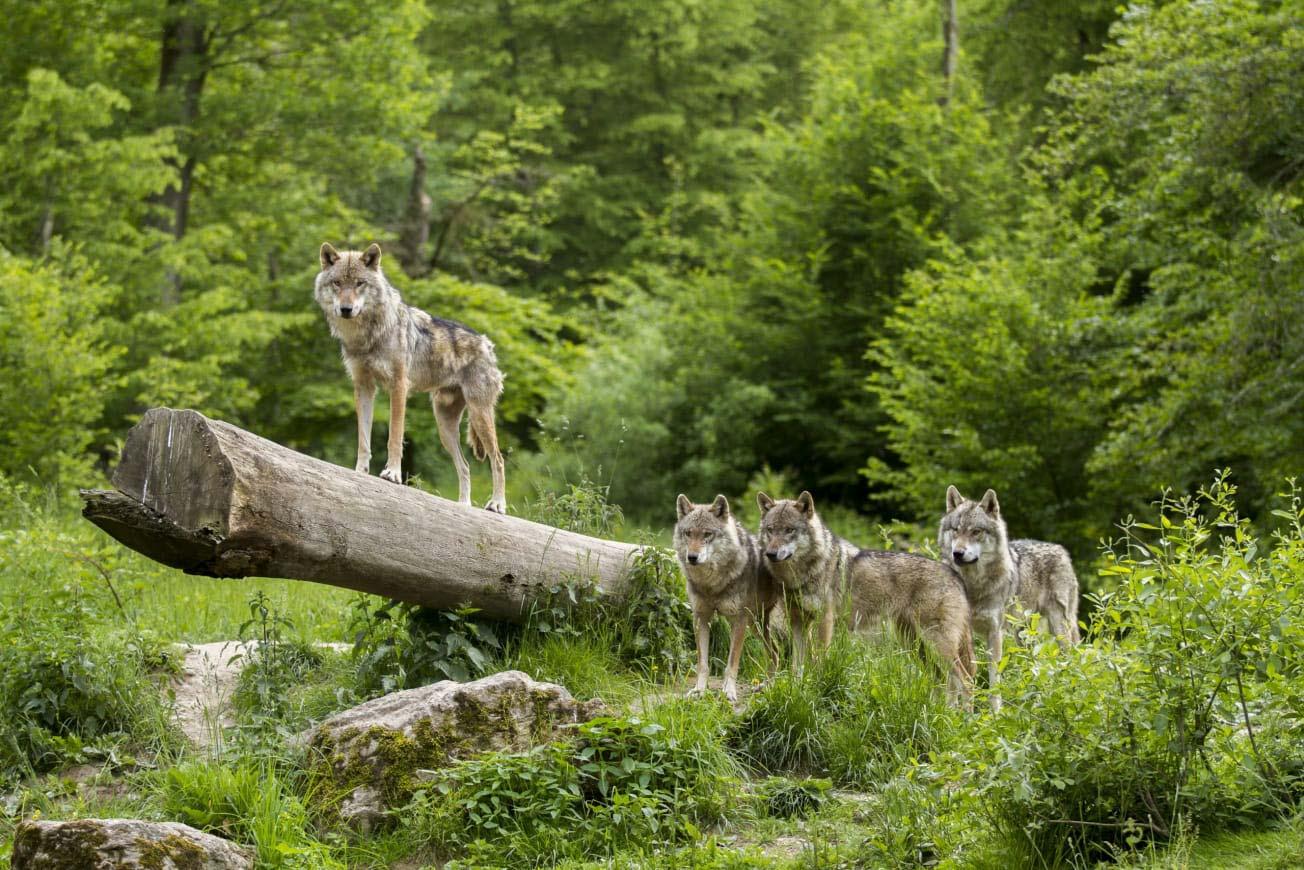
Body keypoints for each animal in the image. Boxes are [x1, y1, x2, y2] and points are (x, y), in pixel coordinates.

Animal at [312, 241, 505, 513]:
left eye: (359, 283)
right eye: (338, 283)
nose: (346, 309)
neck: (367, 336)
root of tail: (487, 345)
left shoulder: (399, 386)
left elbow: (395, 435)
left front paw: (392, 474)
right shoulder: (363, 386)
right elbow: (363, 438)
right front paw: (360, 472)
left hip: (479, 415)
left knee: (498, 459)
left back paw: (497, 505)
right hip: (444, 427)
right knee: (466, 466)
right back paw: (463, 506)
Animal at [678, 493, 777, 704]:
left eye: (707, 534)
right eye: (688, 533)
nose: (692, 557)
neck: (713, 583)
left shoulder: (738, 621)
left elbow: (732, 663)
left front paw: (729, 692)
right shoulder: (701, 618)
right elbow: (702, 664)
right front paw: (699, 690)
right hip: (757, 626)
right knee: (776, 653)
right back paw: (767, 687)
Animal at [751, 490, 975, 709]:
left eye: (789, 530)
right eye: (770, 530)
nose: (771, 553)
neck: (801, 574)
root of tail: (954, 574)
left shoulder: (824, 621)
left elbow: (819, 660)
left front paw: (816, 686)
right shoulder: (798, 621)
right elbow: (797, 664)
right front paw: (796, 690)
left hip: (936, 643)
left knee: (966, 681)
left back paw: (964, 717)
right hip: (914, 644)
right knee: (942, 679)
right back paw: (939, 713)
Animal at [938, 487, 1079, 709]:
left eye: (976, 531)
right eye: (955, 530)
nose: (957, 553)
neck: (973, 586)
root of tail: (1060, 550)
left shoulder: (995, 633)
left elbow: (994, 679)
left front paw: (995, 713)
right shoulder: (959, 630)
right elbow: (955, 678)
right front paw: (951, 711)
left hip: (1060, 629)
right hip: (1023, 635)